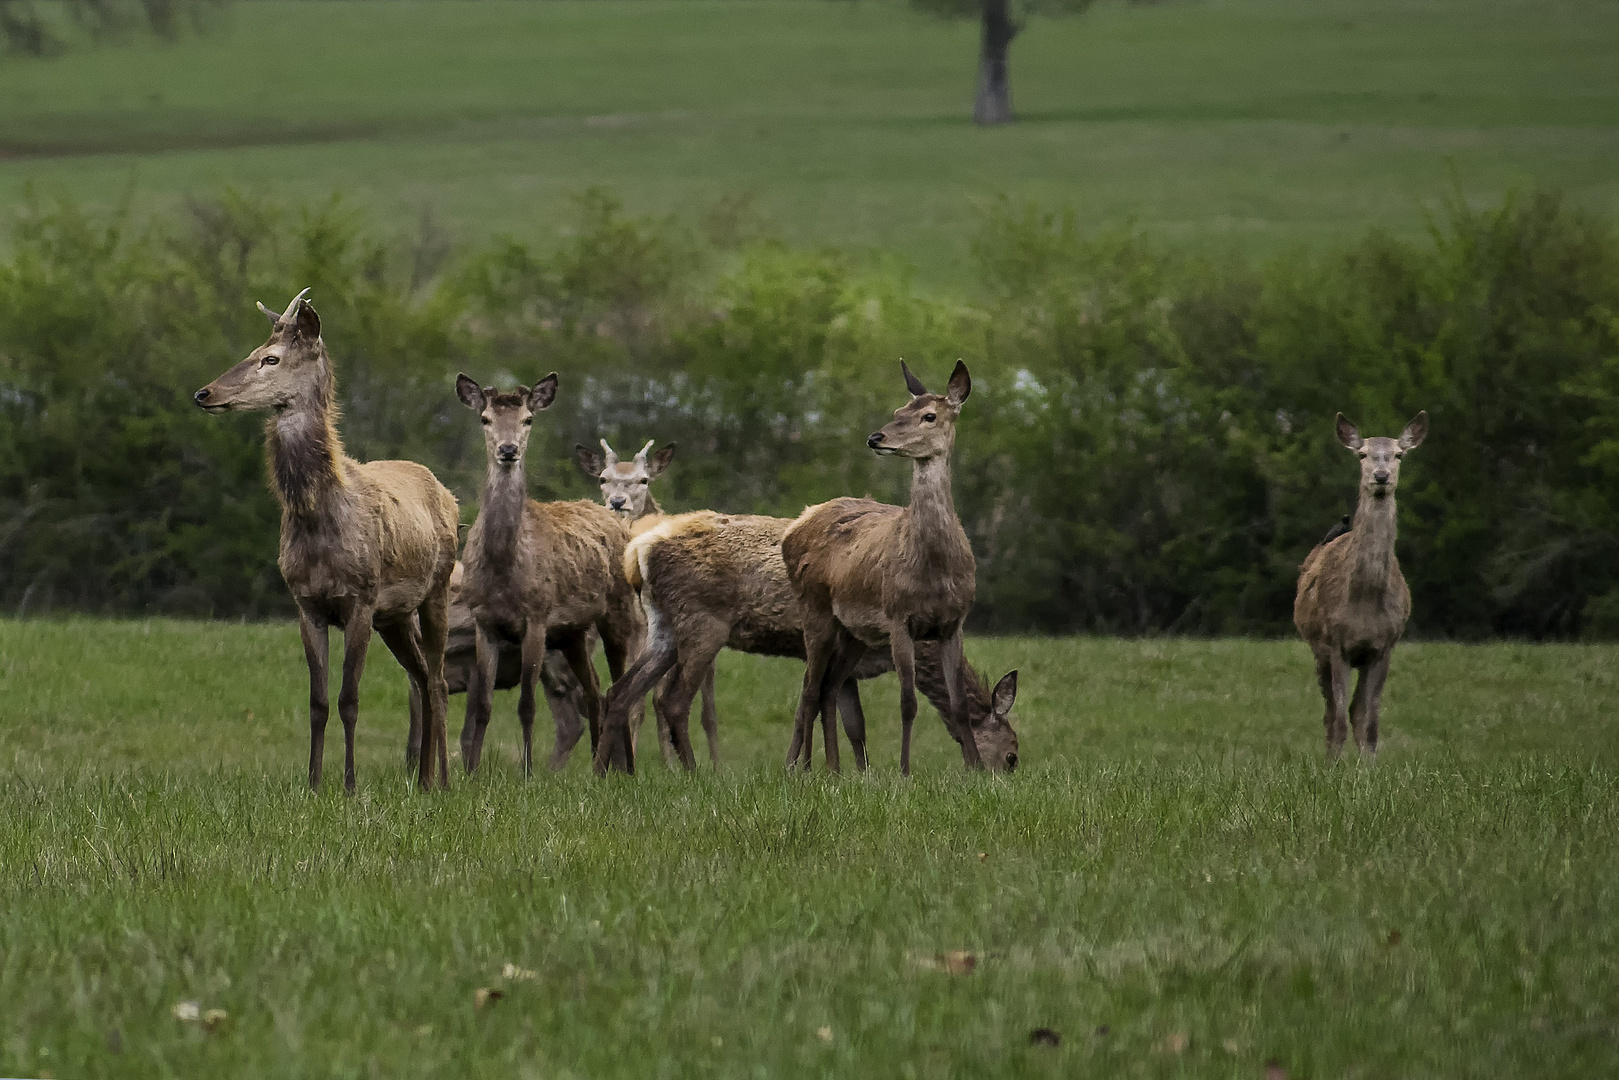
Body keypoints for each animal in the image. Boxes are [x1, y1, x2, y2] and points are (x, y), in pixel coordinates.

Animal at [199, 293, 463, 793]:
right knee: (421, 676)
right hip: (395, 616)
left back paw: (441, 780)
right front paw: (314, 784)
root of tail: (448, 494)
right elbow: (318, 702)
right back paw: (421, 779)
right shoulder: (307, 603)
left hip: (435, 589)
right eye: (251, 350)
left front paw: (350, 786)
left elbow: (349, 699)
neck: (318, 523)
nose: (204, 393)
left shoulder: (360, 597)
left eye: (270, 358)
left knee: (438, 680)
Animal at [456, 374, 644, 777]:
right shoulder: (484, 622)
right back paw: (597, 768)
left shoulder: (537, 617)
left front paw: (527, 774)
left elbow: (527, 704)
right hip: (573, 632)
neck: (504, 569)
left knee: (622, 689)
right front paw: (472, 773)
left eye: (528, 419)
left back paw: (626, 769)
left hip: (622, 614)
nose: (508, 450)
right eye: (484, 419)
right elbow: (483, 705)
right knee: (595, 690)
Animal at [783, 362, 984, 777]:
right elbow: (908, 702)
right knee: (808, 689)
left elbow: (959, 704)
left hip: (854, 633)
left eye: (929, 415)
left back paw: (835, 769)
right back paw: (799, 768)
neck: (934, 570)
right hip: (814, 611)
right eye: (897, 411)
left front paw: (976, 770)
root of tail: (793, 530)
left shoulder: (954, 622)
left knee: (827, 688)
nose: (876, 437)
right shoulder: (898, 617)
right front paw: (905, 772)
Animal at [1288, 411, 1431, 761]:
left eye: (1399, 454)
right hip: (1318, 649)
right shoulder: (1336, 642)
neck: (1364, 603)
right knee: (1330, 713)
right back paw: (1329, 759)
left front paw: (1369, 768)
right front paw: (1335, 768)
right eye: (1362, 454)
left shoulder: (1385, 646)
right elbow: (1339, 718)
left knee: (1354, 711)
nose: (1381, 476)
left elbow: (1369, 720)